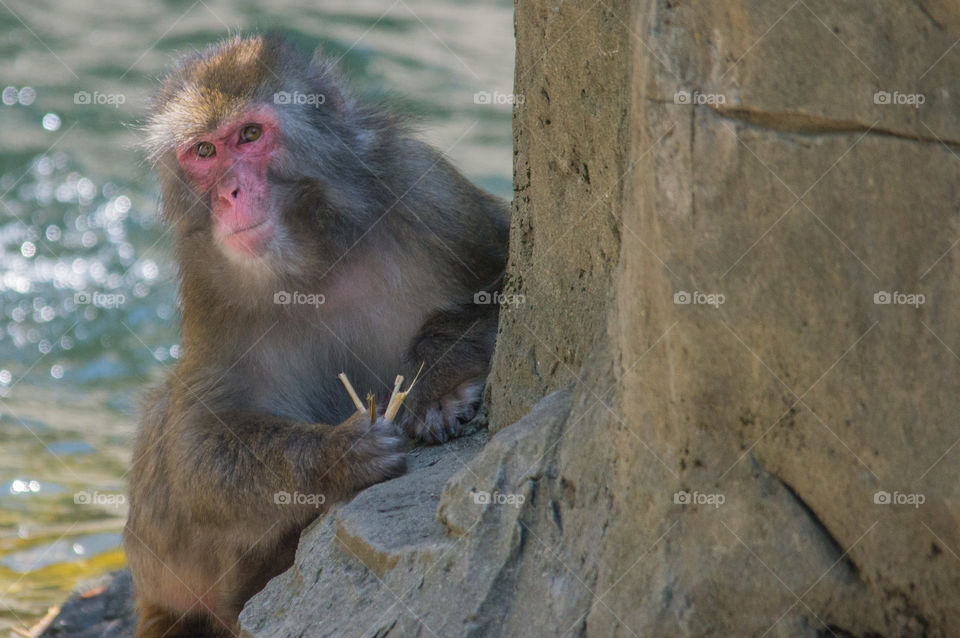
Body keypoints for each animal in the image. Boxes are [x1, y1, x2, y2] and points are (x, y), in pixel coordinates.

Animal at [123, 34, 509, 638]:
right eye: (204, 152)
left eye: (250, 135)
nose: (232, 193)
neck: (315, 253)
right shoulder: (208, 279)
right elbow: (195, 436)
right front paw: (338, 454)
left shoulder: (425, 188)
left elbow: (514, 275)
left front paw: (440, 379)